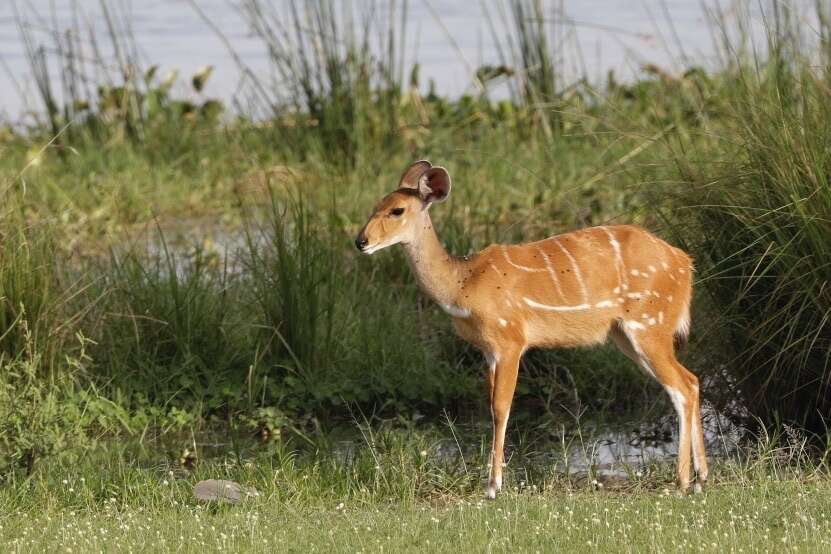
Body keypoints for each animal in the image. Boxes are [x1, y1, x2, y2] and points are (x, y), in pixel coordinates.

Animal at [354, 158, 712, 496]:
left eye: (397, 210)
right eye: (375, 205)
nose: (361, 241)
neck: (461, 286)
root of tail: (685, 264)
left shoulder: (510, 339)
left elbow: (501, 407)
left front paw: (493, 486)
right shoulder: (488, 350)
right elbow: (491, 406)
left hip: (649, 324)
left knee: (681, 387)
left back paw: (683, 481)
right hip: (626, 334)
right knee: (691, 380)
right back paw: (701, 478)